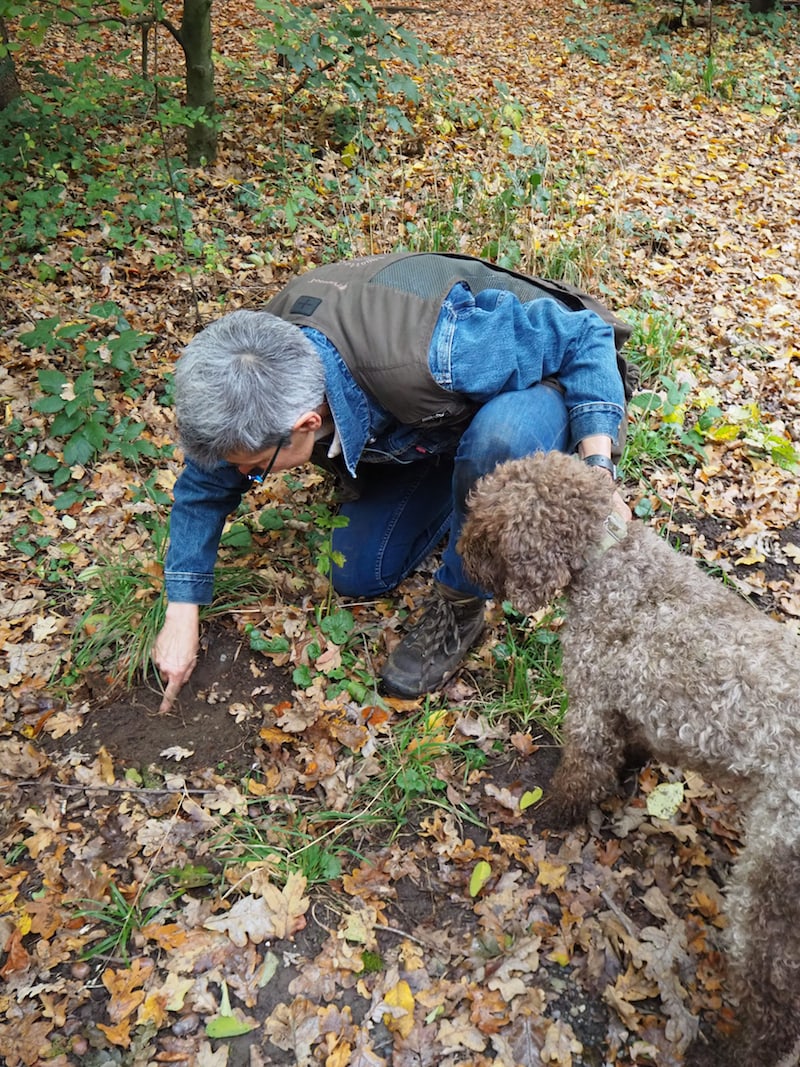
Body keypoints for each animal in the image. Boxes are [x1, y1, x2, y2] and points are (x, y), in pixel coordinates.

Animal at [456, 448, 800, 1067]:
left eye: (487, 527)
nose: (460, 556)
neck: (614, 562)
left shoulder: (592, 703)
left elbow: (578, 774)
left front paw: (551, 816)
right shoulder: (630, 709)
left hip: (770, 889)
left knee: (775, 1009)